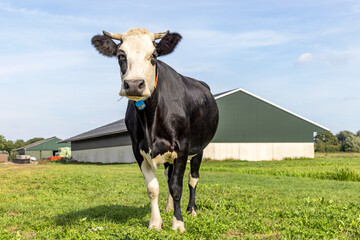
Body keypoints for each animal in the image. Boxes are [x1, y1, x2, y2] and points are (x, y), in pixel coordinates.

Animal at [91, 28, 218, 232]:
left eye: (154, 55)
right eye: (121, 55)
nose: (134, 84)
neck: (150, 118)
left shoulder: (182, 147)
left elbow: (177, 187)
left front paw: (178, 223)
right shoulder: (138, 150)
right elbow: (153, 188)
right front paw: (155, 222)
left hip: (199, 148)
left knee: (192, 179)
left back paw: (191, 210)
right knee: (168, 176)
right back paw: (169, 207)